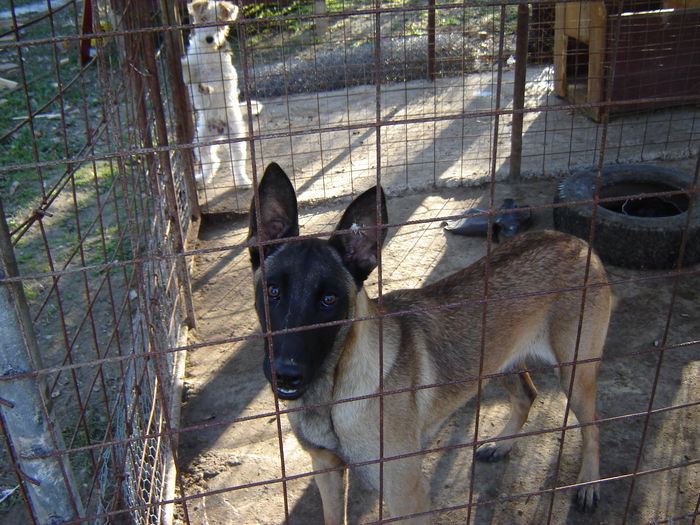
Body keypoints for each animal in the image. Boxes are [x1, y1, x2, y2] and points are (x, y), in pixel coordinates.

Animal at [182, 0, 256, 186]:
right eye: (203, 18)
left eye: (219, 22)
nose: (210, 39)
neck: (208, 54)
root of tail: (220, 130)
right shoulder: (192, 77)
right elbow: (190, 75)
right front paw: (189, 71)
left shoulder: (227, 75)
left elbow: (217, 82)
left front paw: (208, 87)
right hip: (201, 143)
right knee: (213, 162)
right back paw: (202, 178)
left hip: (237, 141)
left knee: (236, 164)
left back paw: (243, 180)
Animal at [249, 162, 608, 520]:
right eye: (272, 291)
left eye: (328, 300)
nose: (286, 374)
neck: (330, 394)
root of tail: (577, 242)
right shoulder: (327, 471)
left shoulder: (407, 497)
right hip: (500, 359)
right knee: (527, 396)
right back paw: (502, 445)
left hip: (575, 373)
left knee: (592, 425)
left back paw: (589, 483)